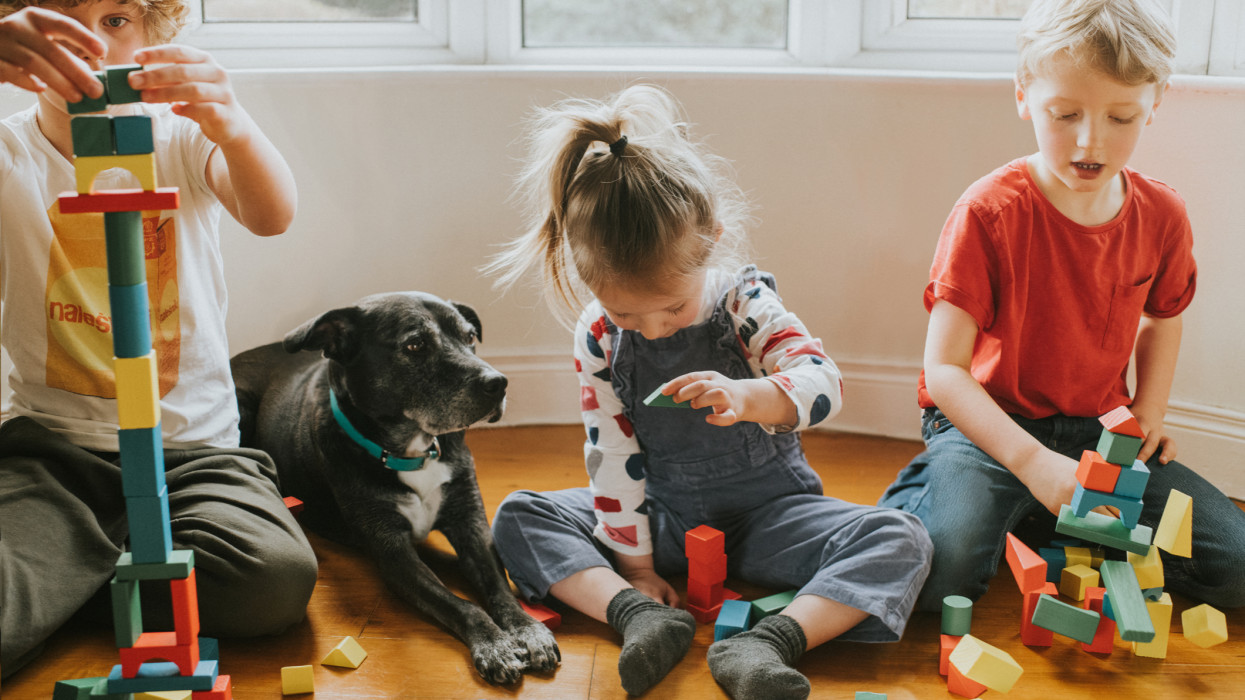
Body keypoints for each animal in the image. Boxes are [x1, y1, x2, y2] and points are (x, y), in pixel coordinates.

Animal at [232, 288, 560, 682]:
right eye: (415, 345)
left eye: (469, 337)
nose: (499, 383)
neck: (413, 450)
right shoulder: (393, 551)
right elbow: (461, 604)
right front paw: (494, 644)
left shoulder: (470, 523)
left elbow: (499, 585)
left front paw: (527, 628)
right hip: (240, 407)